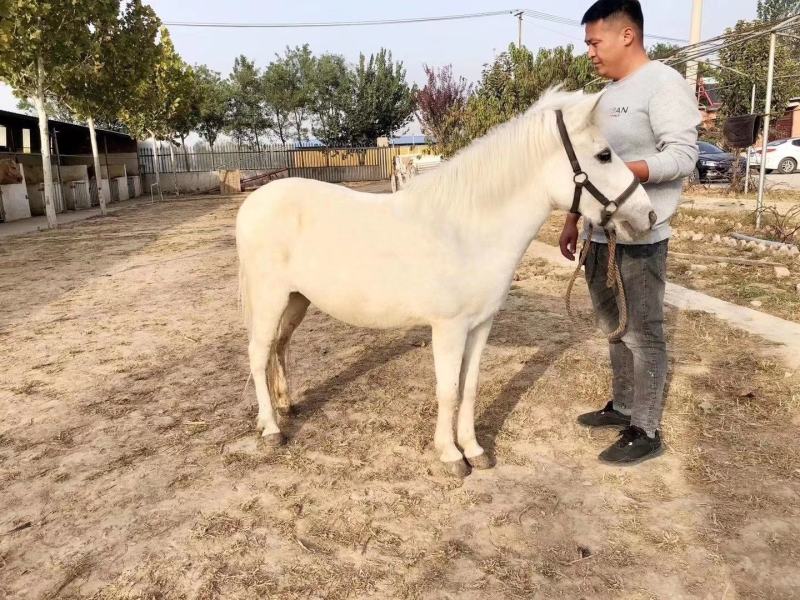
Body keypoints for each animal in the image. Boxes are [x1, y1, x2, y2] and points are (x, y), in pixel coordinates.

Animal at [235, 89, 657, 477]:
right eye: (604, 155)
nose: (648, 215)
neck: (465, 230)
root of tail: (254, 202)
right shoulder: (449, 328)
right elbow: (449, 391)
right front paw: (451, 456)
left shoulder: (480, 325)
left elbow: (468, 388)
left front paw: (474, 450)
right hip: (271, 297)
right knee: (257, 354)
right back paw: (271, 429)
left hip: (296, 298)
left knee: (279, 347)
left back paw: (285, 406)